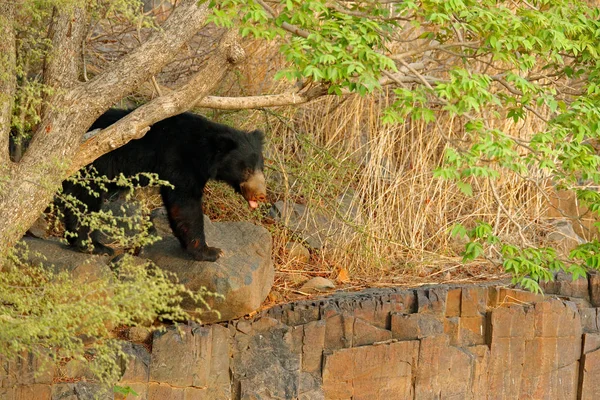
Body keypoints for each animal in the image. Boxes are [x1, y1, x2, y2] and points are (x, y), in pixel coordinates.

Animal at [62, 108, 266, 260]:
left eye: (261, 167)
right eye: (246, 170)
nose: (261, 195)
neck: (203, 150)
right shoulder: (180, 162)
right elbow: (186, 204)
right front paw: (211, 251)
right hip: (92, 165)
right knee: (84, 201)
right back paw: (96, 246)